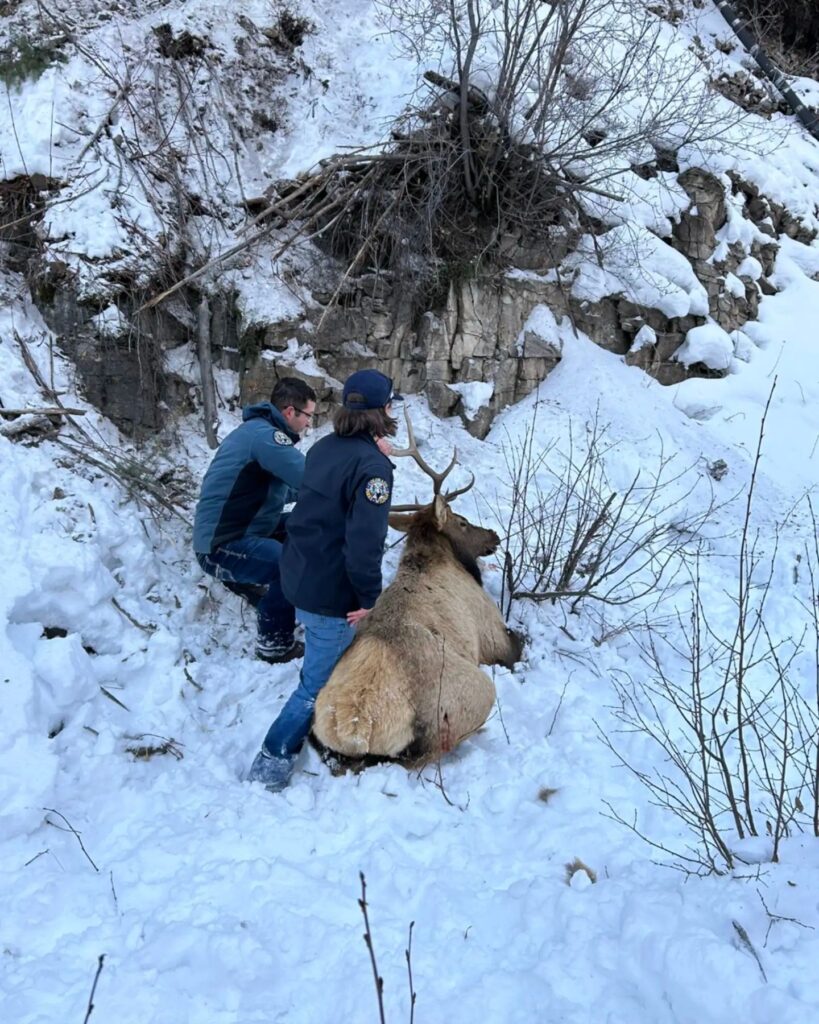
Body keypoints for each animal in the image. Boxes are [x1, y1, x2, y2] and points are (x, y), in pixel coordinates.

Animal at [312, 410, 523, 763]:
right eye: (462, 521)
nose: (493, 536)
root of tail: (357, 728)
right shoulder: (492, 632)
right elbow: (518, 644)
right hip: (474, 695)